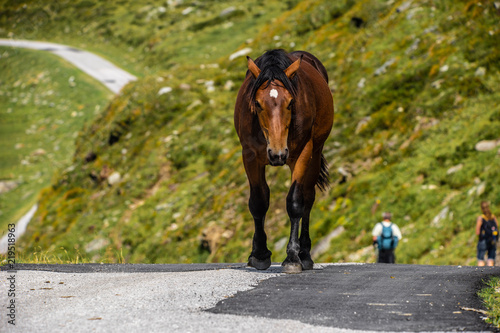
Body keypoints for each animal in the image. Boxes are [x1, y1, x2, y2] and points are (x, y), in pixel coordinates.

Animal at [233, 49, 334, 272]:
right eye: (258, 104)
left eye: (290, 103)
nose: (277, 154)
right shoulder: (250, 156)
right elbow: (258, 202)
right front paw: (260, 254)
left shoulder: (303, 153)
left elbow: (295, 202)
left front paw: (293, 257)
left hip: (314, 153)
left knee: (308, 197)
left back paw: (304, 254)